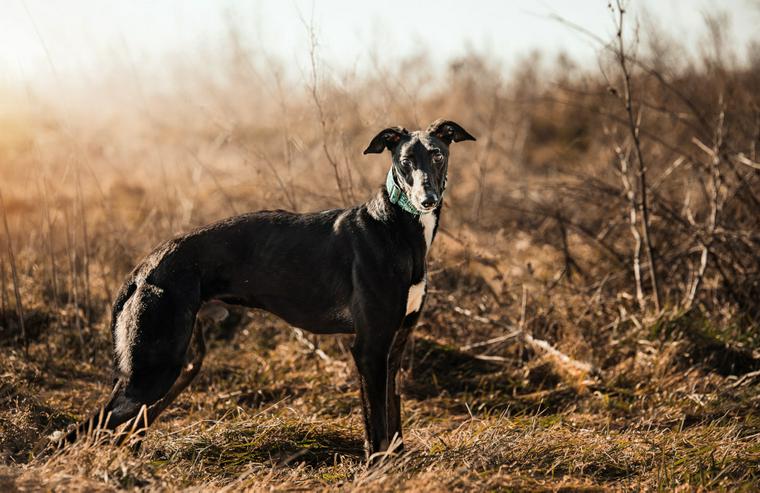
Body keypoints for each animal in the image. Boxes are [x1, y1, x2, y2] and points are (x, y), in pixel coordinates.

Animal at [60, 118, 476, 458]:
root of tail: (143, 267)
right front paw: (378, 471)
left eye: (437, 155)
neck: (397, 228)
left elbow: (394, 418)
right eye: (405, 161)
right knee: (77, 432)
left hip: (180, 367)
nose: (427, 200)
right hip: (152, 371)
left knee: (126, 432)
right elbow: (376, 428)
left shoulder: (395, 347)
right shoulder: (369, 348)